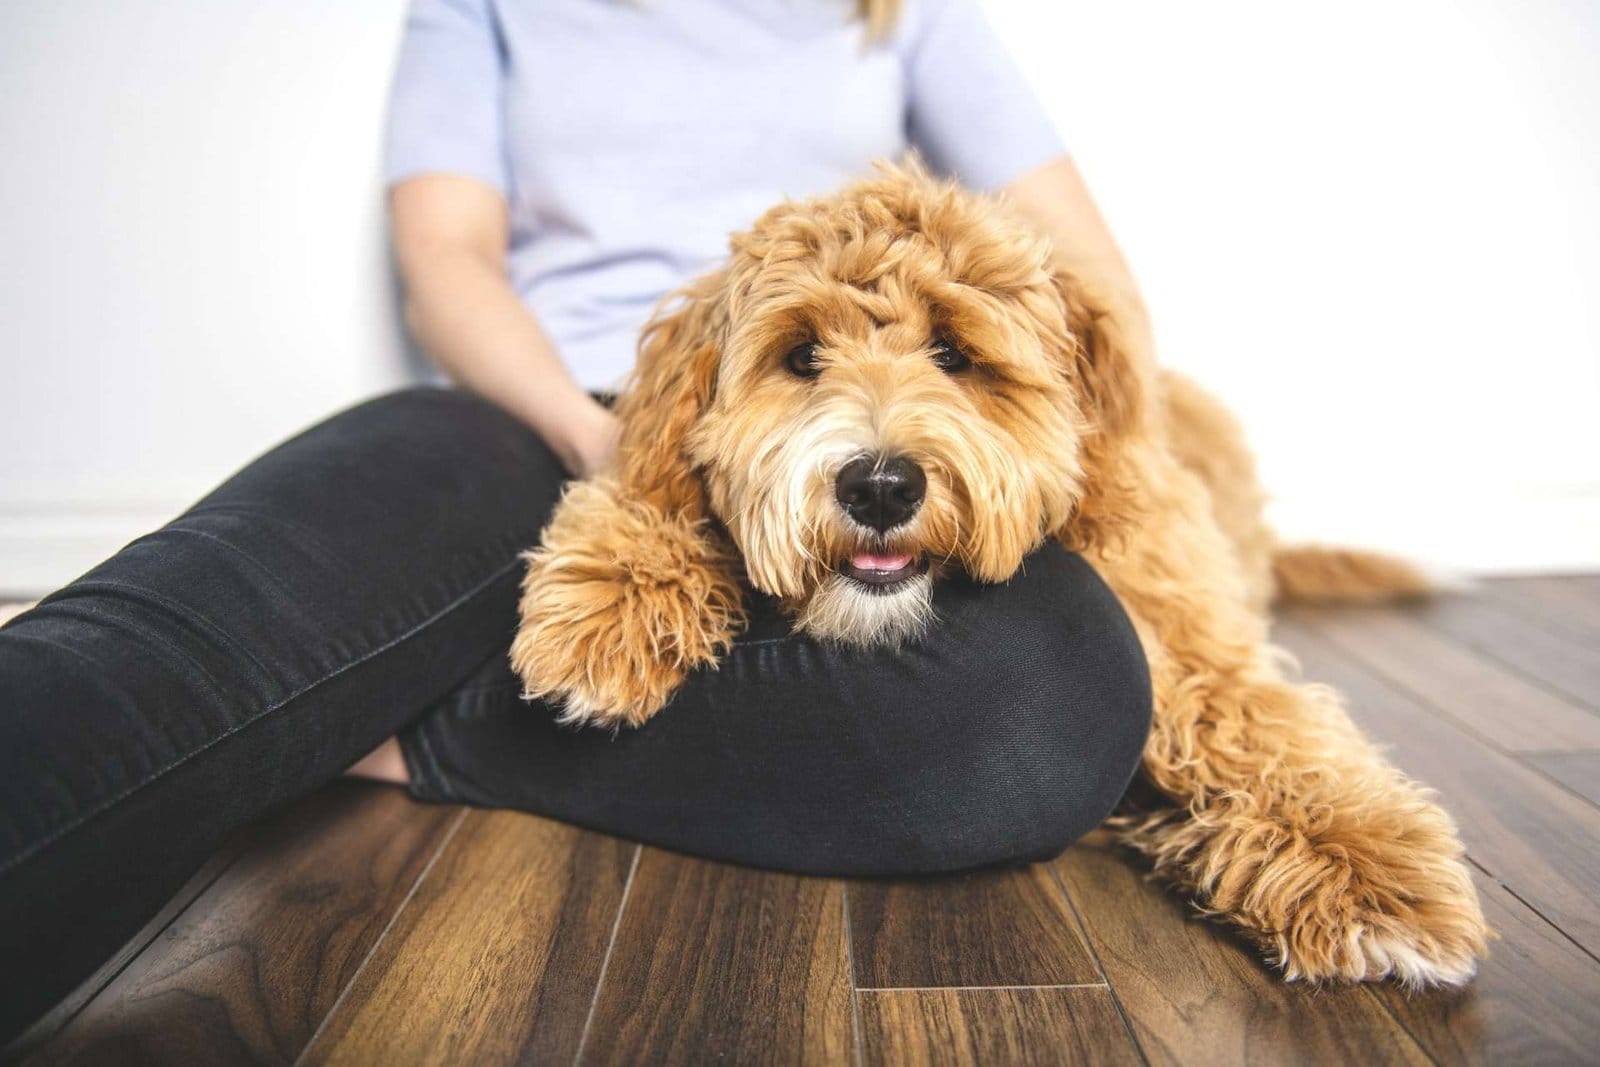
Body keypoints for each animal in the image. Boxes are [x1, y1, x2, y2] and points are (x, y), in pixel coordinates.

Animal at [508, 163, 1484, 991]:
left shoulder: (1186, 624)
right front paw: (607, 606)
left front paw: (1368, 875)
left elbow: (1267, 732)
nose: (879, 485)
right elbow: (658, 496)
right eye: (801, 356)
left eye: (952, 352)